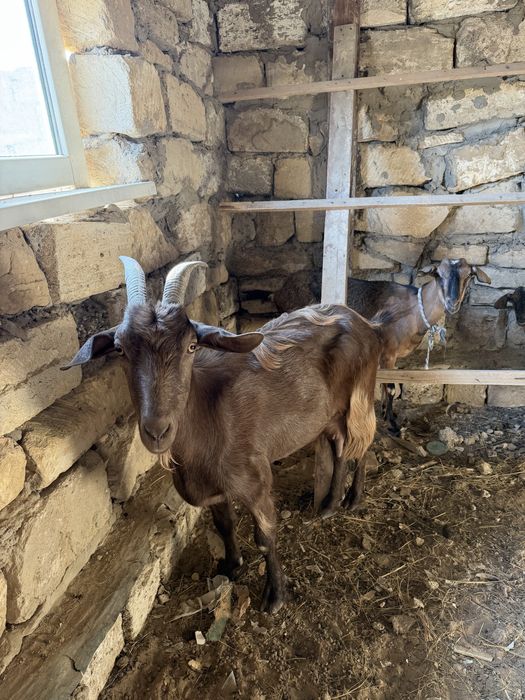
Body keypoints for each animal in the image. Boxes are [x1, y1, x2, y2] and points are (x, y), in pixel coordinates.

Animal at [65, 257, 388, 613]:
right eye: (120, 349)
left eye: (191, 346)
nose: (157, 431)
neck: (207, 419)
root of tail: (368, 326)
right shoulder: (212, 489)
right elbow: (224, 525)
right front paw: (232, 567)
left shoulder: (255, 481)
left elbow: (265, 537)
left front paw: (275, 596)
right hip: (327, 415)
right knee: (340, 446)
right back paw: (329, 504)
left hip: (359, 398)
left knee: (363, 440)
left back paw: (353, 498)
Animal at [347, 258, 491, 433]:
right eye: (438, 274)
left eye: (469, 275)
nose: (452, 303)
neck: (414, 310)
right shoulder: (388, 353)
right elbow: (391, 388)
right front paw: (392, 424)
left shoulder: (387, 356)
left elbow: (383, 384)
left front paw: (386, 412)